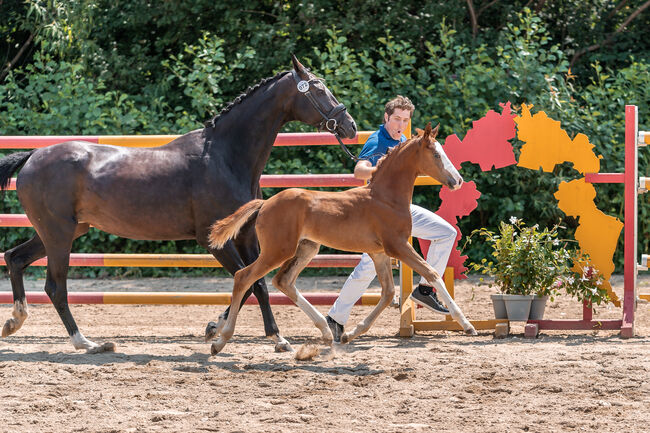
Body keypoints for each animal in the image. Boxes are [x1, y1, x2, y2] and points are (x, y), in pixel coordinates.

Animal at [209, 122, 476, 354]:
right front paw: (467, 324)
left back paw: (327, 331)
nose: (458, 180)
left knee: (283, 281)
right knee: (244, 277)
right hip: (277, 251)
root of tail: (265, 204)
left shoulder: (379, 254)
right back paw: (221, 341)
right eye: (436, 155)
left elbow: (388, 293)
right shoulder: (397, 247)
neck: (385, 198)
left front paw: (350, 334)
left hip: (306, 248)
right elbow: (432, 273)